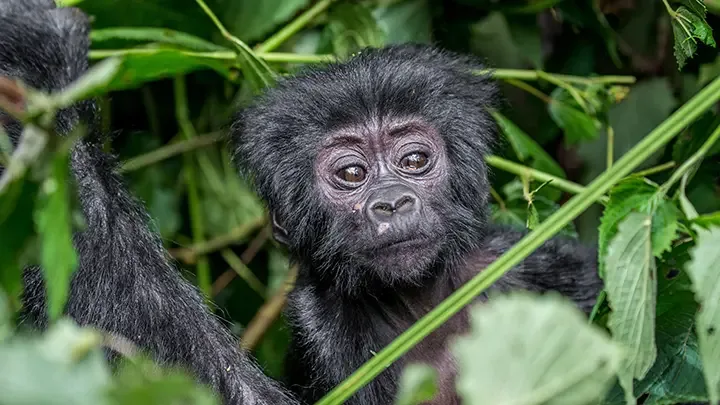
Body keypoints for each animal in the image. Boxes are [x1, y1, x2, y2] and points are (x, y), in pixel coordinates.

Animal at [232, 44, 603, 404]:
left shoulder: (525, 260)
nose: (393, 203)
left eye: (414, 160)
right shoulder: (321, 326)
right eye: (351, 173)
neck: (422, 309)